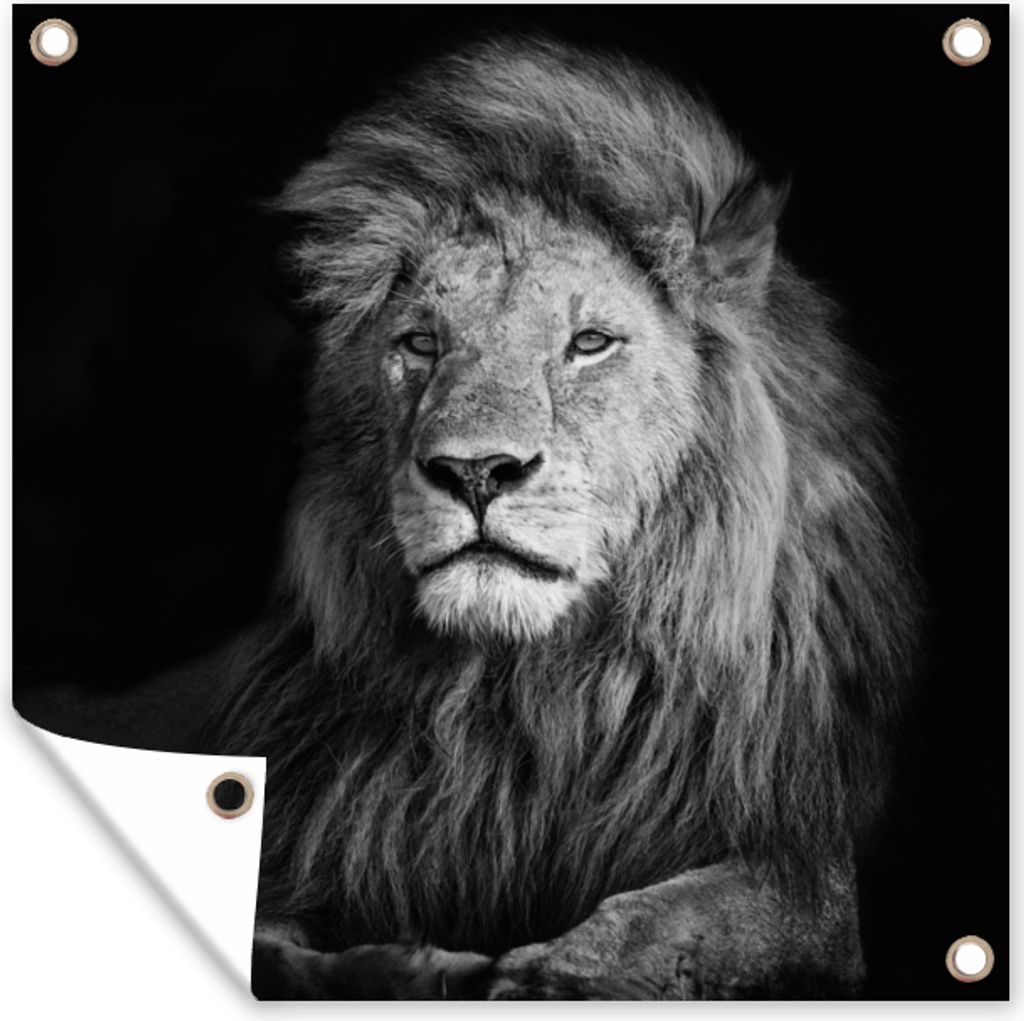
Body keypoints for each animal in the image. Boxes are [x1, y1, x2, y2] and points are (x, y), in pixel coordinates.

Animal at [208, 36, 919, 999]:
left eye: (589, 344)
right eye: (421, 343)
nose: (475, 470)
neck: (527, 698)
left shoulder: (807, 867)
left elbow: (686, 917)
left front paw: (545, 974)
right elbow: (264, 945)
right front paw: (406, 966)